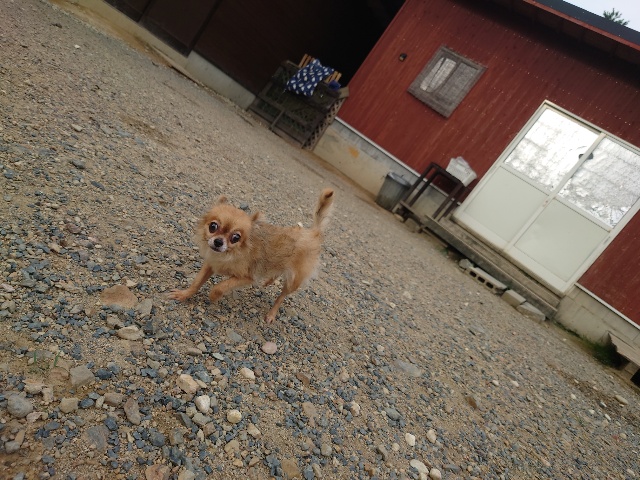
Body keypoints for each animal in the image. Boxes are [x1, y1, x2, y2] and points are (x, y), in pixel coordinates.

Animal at [169, 188, 334, 323]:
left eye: (236, 237)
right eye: (213, 226)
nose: (218, 242)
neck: (229, 254)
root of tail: (313, 233)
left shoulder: (246, 277)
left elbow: (220, 287)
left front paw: (213, 297)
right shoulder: (210, 264)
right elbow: (196, 282)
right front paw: (184, 294)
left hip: (293, 281)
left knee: (281, 296)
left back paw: (271, 314)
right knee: (277, 271)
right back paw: (268, 281)